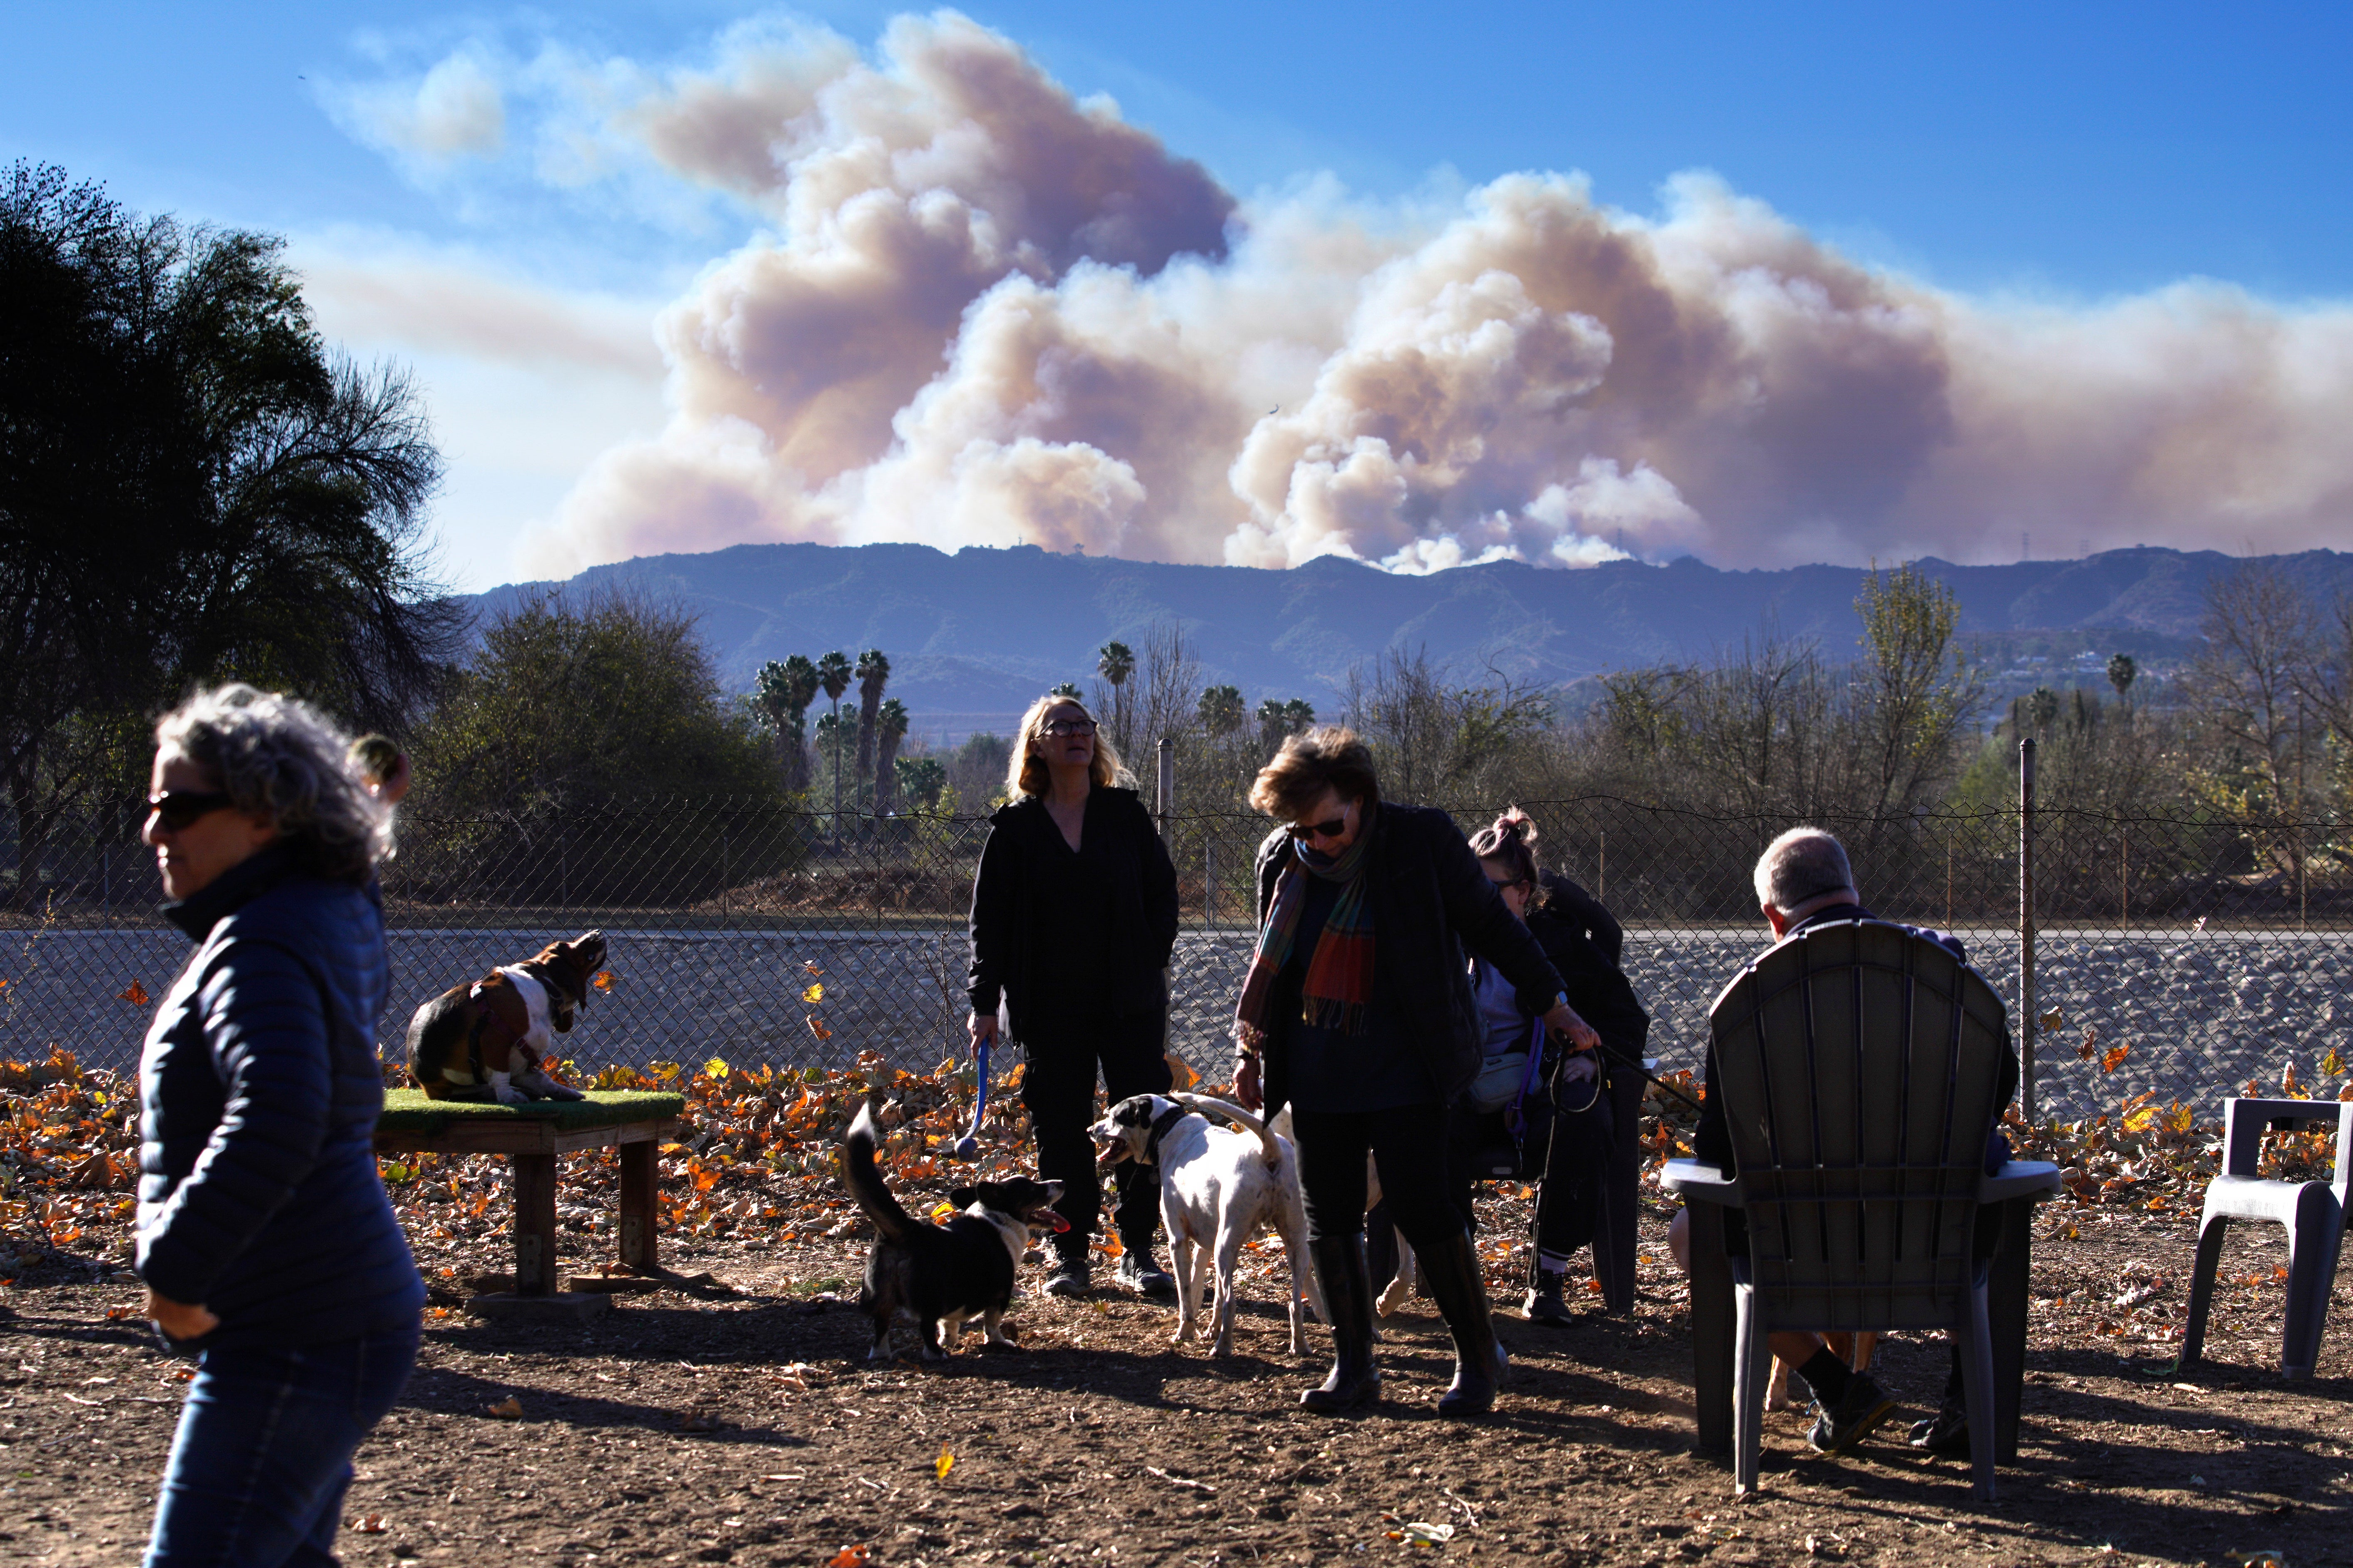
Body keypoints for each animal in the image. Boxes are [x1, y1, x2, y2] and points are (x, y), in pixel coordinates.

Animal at [842, 1105, 1063, 1363]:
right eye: (1031, 1189)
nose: (1062, 1182)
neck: (997, 1218)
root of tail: (909, 1231)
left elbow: (949, 1325)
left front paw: (949, 1340)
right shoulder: (1000, 1295)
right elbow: (992, 1325)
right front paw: (999, 1342)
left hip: (883, 1295)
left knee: (881, 1325)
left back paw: (881, 1354)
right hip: (932, 1296)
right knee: (926, 1326)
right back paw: (936, 1354)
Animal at [1087, 1090, 1327, 1363]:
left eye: (1114, 1116)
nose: (1090, 1129)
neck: (1171, 1130)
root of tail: (1269, 1149)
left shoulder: (1178, 1241)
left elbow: (1186, 1295)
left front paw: (1186, 1332)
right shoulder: (1207, 1245)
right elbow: (1207, 1293)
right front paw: (1211, 1329)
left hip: (1227, 1245)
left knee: (1232, 1302)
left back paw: (1223, 1348)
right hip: (1293, 1245)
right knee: (1295, 1302)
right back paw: (1300, 1346)